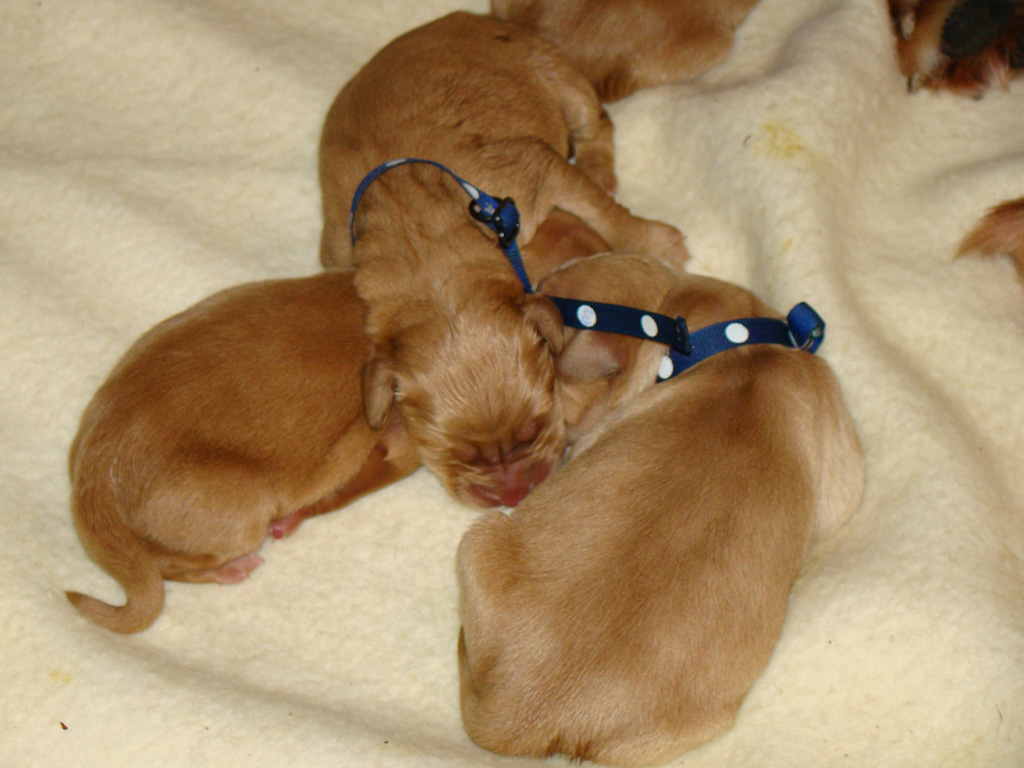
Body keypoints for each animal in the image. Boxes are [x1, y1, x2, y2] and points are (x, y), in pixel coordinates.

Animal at [319, 10, 688, 512]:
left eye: (534, 425)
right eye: (458, 452)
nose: (517, 494)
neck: (421, 245)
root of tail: (474, 17)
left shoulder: (539, 169)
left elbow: (608, 215)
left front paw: (659, 243)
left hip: (559, 76)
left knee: (598, 124)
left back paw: (598, 167)